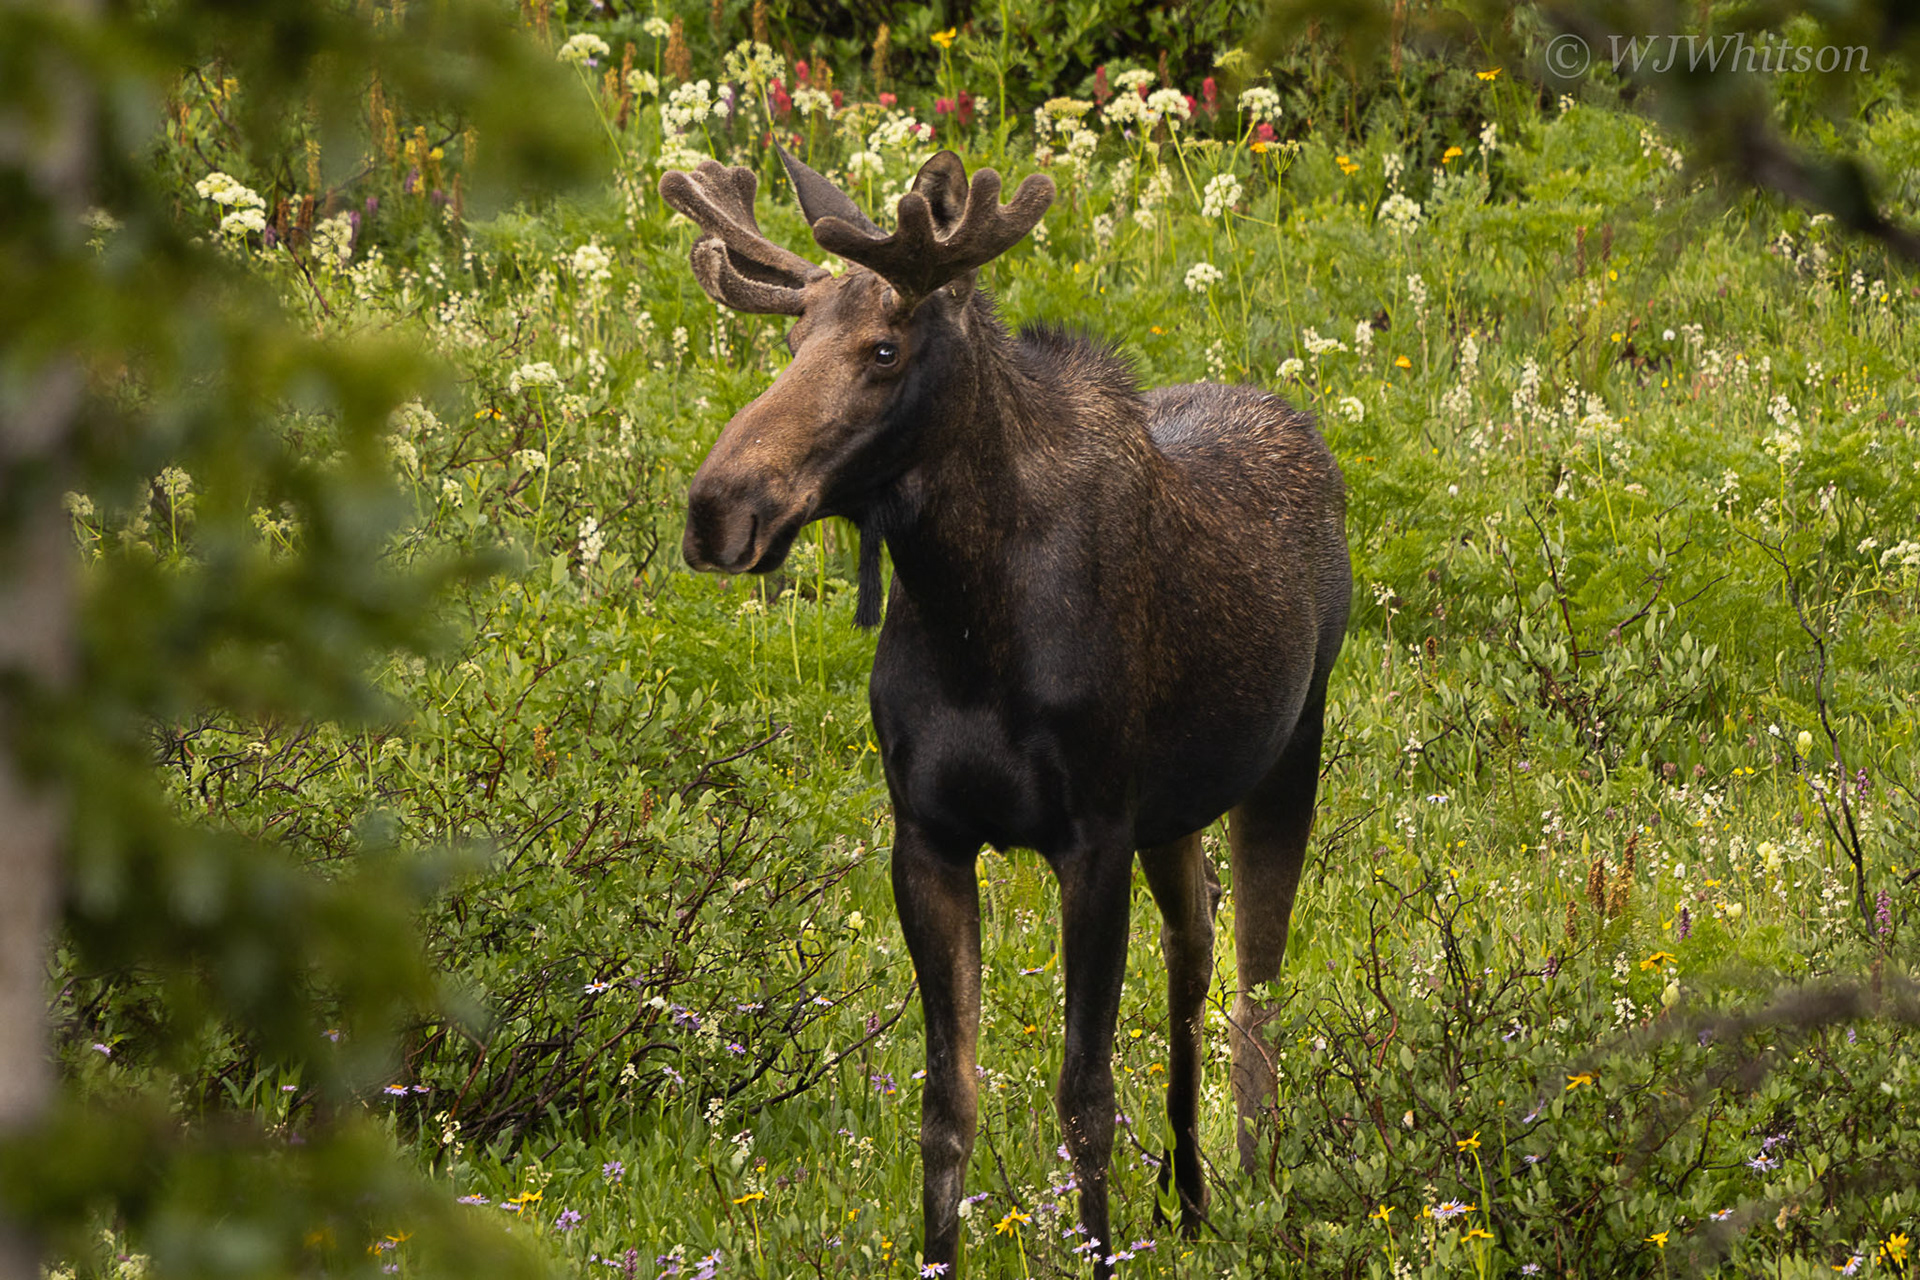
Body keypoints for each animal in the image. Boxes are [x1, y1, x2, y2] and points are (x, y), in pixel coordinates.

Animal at [659, 146, 1350, 1277]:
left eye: (885, 347)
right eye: (792, 342)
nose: (718, 508)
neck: (971, 620)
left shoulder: (1092, 833)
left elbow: (1085, 1099)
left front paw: (1101, 1250)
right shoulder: (930, 834)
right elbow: (948, 1102)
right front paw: (941, 1252)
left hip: (1293, 745)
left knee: (1260, 989)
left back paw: (1257, 1185)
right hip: (1173, 813)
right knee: (1195, 950)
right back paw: (1189, 1195)